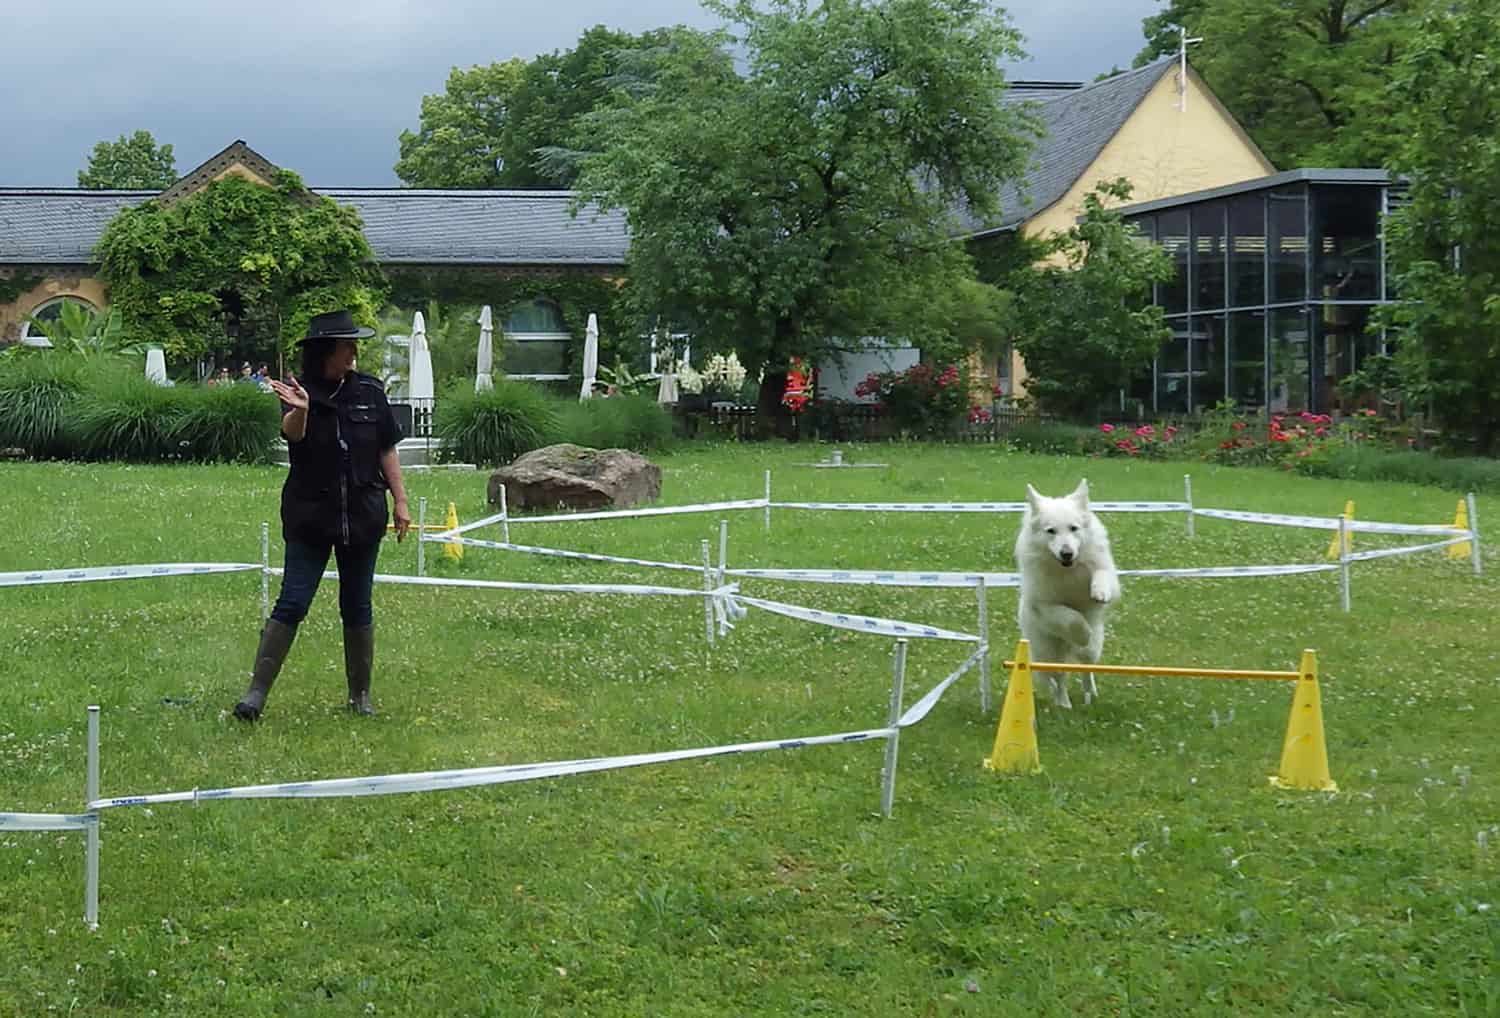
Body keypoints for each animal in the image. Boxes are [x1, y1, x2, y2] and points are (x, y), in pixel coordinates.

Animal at [1014, 479, 1122, 707]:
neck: (1067, 570)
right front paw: (1082, 633)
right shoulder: (1043, 605)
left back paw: (1090, 695)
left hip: (1093, 649)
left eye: (1074, 528)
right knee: (1059, 680)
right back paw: (1064, 704)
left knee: (1086, 669)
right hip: (1049, 652)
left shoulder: (1104, 571)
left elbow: (1102, 576)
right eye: (1051, 531)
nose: (1067, 553)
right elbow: (1071, 618)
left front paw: (1099, 592)